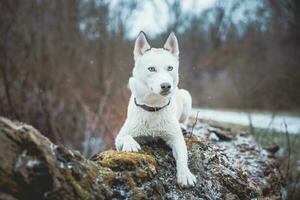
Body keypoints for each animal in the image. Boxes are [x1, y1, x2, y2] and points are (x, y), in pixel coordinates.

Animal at [115, 31, 197, 188]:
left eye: (170, 68)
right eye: (151, 69)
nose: (166, 86)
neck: (153, 106)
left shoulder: (176, 139)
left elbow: (183, 157)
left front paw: (185, 174)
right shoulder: (118, 137)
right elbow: (125, 136)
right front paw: (131, 144)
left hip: (187, 96)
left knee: (185, 120)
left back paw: (182, 125)